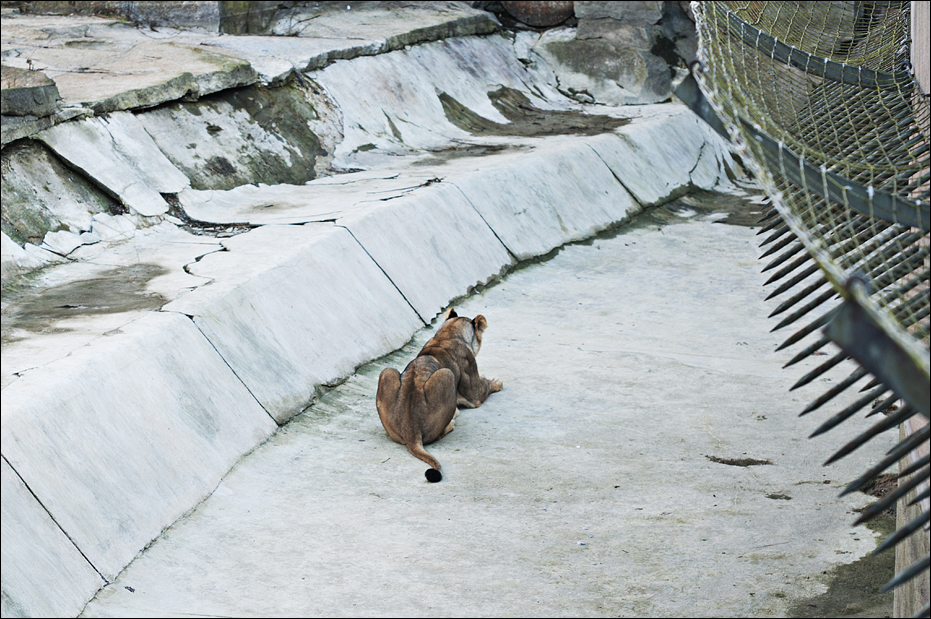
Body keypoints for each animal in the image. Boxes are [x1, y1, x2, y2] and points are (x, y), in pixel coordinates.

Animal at [376, 308, 503, 482]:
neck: (447, 334)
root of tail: (411, 428)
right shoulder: (474, 394)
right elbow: (486, 385)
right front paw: (497, 382)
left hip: (387, 372)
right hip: (447, 375)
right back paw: (452, 421)